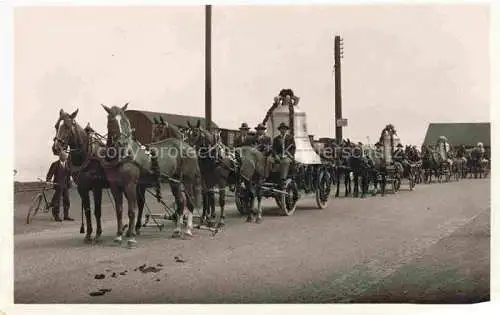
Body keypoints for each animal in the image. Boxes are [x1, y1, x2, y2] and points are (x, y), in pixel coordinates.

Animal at [51, 108, 108, 244]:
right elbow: (87, 211)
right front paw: (88, 234)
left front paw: (98, 234)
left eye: (67, 126)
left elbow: (97, 211)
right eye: (56, 126)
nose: (56, 148)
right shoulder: (82, 188)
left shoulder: (97, 187)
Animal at [101, 102, 203, 243]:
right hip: (174, 181)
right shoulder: (115, 186)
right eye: (111, 120)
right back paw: (177, 230)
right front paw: (119, 235)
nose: (121, 142)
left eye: (125, 121)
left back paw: (188, 229)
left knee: (190, 201)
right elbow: (119, 210)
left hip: (188, 179)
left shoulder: (131, 185)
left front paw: (131, 237)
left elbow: (132, 210)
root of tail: (188, 147)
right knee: (180, 201)